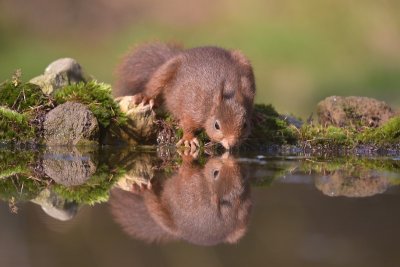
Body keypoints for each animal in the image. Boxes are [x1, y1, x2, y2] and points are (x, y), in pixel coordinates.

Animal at [109, 155, 252, 247]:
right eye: (242, 175)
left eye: (215, 173)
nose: (230, 160)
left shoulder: (192, 182)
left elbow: (186, 169)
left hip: (160, 211)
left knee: (151, 199)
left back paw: (143, 189)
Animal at [113, 43, 256, 150]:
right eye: (216, 125)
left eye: (245, 125)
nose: (232, 144)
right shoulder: (193, 107)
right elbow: (187, 122)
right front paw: (188, 138)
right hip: (166, 70)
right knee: (154, 85)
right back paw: (146, 98)